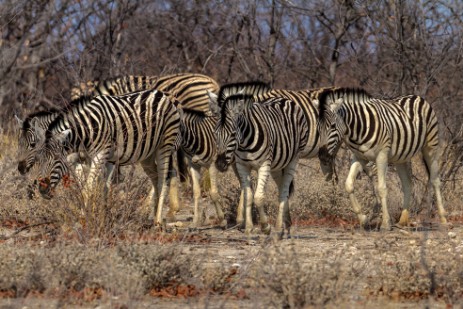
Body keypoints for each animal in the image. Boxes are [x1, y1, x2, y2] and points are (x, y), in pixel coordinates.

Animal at [32, 88, 180, 225]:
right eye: (39, 161)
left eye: (56, 159)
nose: (42, 190)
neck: (86, 131)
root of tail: (161, 93)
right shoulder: (85, 159)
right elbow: (98, 188)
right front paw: (101, 218)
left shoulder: (100, 155)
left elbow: (88, 189)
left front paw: (83, 219)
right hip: (147, 154)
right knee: (155, 177)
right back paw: (153, 215)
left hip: (165, 145)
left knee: (163, 179)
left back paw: (158, 221)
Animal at [208, 82, 310, 236]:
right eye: (215, 132)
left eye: (233, 133)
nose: (220, 164)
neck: (244, 143)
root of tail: (284, 99)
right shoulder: (242, 165)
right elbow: (248, 196)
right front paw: (249, 227)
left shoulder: (264, 165)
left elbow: (259, 197)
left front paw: (265, 226)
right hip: (277, 165)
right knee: (281, 187)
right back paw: (286, 224)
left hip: (293, 159)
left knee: (284, 190)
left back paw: (279, 227)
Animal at [318, 86, 448, 229]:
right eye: (318, 127)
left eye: (333, 126)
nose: (322, 154)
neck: (359, 127)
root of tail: (416, 96)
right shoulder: (359, 157)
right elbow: (349, 184)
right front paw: (363, 218)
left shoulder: (381, 156)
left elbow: (381, 188)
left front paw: (385, 223)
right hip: (400, 158)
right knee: (407, 183)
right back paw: (402, 220)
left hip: (430, 147)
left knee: (435, 179)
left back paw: (443, 219)